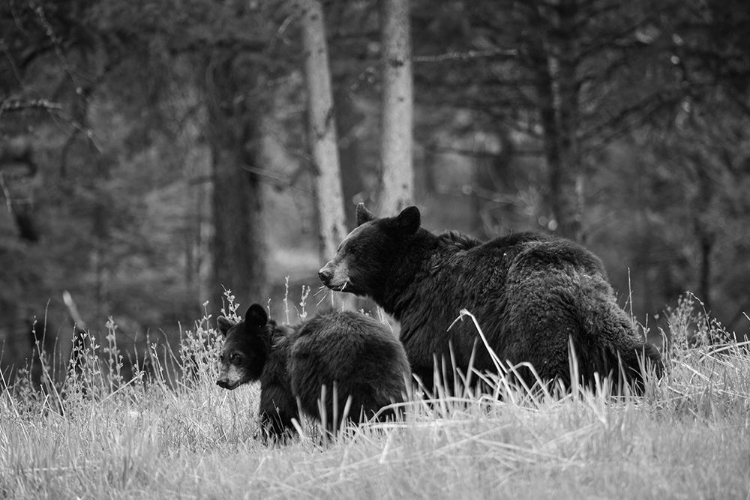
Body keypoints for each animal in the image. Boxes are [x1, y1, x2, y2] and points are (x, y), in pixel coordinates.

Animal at [216, 304, 412, 442]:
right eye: (221, 356)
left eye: (236, 356)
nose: (221, 381)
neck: (273, 345)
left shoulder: (280, 373)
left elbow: (278, 410)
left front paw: (270, 439)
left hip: (336, 381)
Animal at [318, 204, 664, 394]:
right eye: (342, 245)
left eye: (355, 250)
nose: (324, 273)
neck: (412, 282)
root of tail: (573, 282)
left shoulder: (436, 320)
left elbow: (430, 368)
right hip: (608, 320)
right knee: (638, 356)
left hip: (535, 326)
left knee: (545, 373)